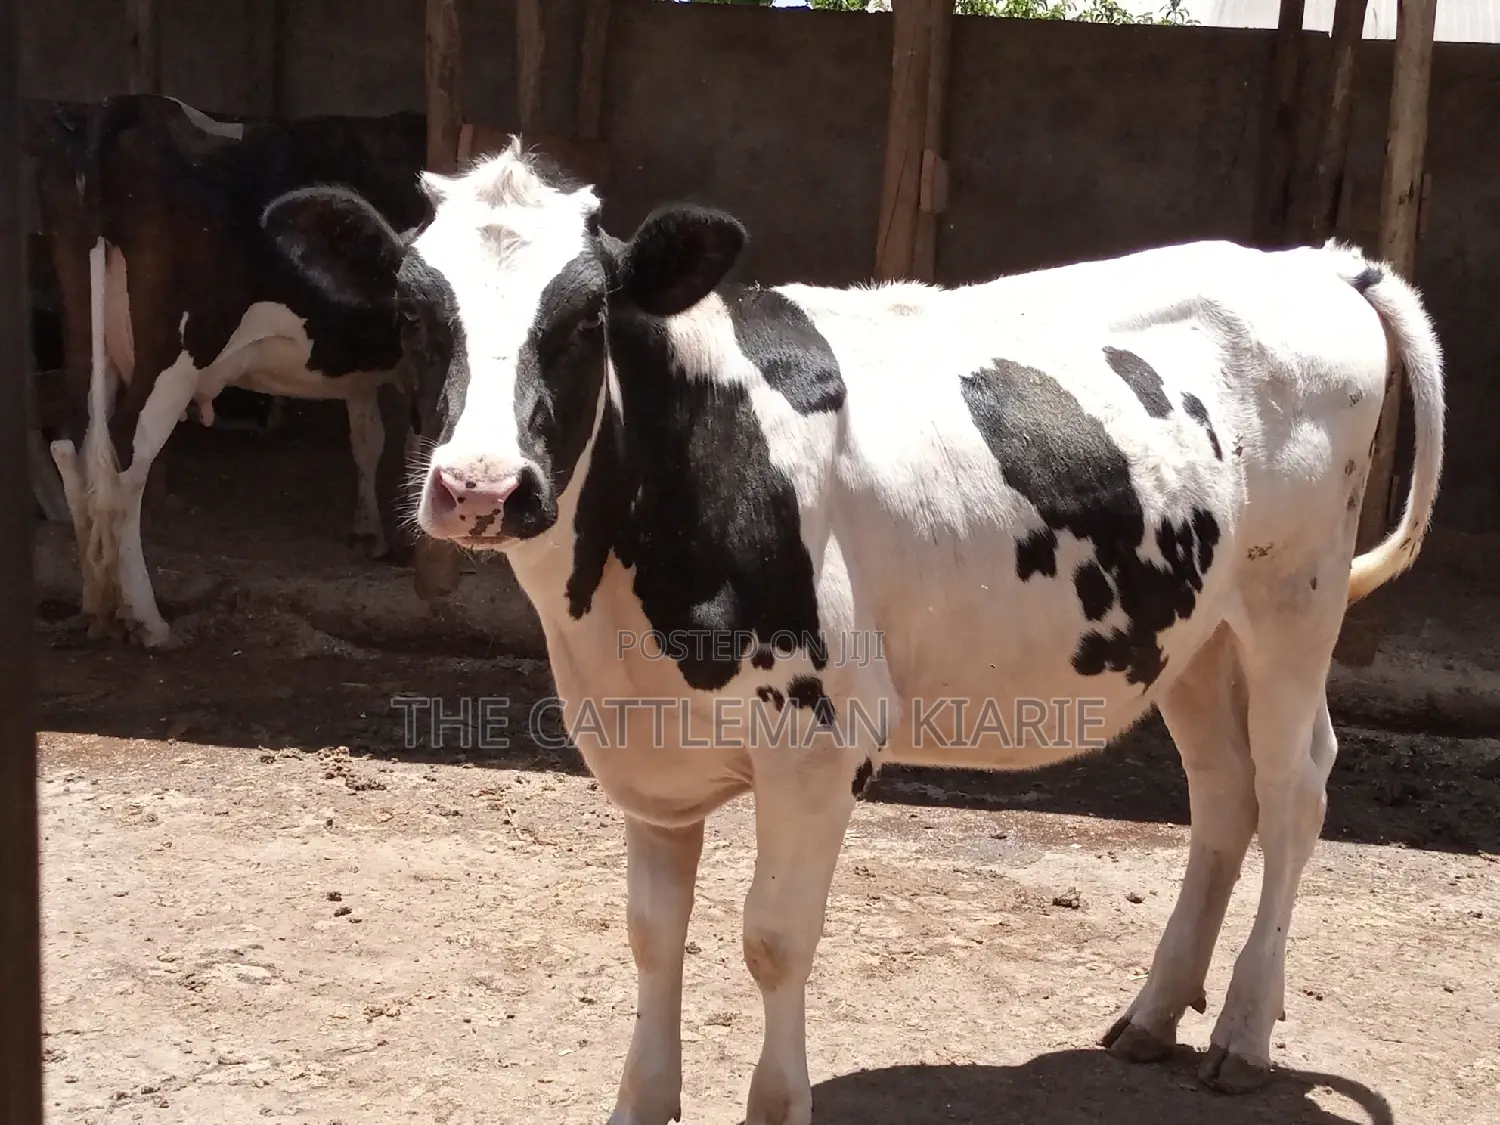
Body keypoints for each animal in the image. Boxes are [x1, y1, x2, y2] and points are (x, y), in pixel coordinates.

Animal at [31, 94, 431, 648]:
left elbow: (367, 437)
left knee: (72, 445)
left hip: (84, 327)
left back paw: (97, 603)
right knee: (125, 458)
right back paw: (148, 620)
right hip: (174, 351)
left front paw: (369, 531)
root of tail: (129, 106)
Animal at [262, 140, 1444, 1124]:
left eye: (585, 320)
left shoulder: (817, 741)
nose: (480, 487)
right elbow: (653, 936)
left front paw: (776, 1104)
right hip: (1190, 628)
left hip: (1294, 599)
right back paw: (1155, 1015)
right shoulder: (643, 752)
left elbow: (773, 940)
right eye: (416, 315)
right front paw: (643, 1101)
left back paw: (1242, 1031)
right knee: (1225, 794)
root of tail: (1315, 262)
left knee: (1295, 787)